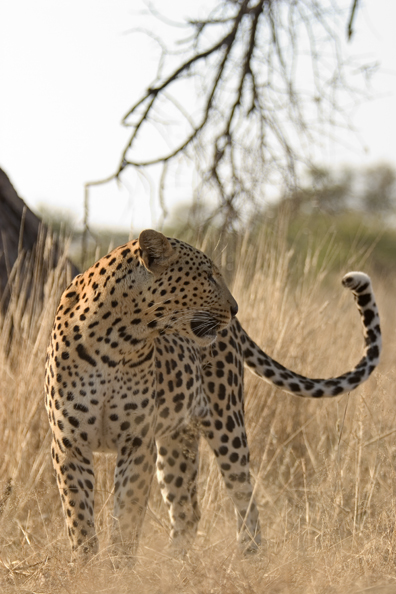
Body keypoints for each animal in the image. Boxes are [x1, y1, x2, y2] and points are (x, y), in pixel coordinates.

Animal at [44, 228, 382, 560]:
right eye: (208, 276)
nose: (235, 308)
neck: (117, 342)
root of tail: (236, 329)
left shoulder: (137, 441)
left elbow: (127, 516)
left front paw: (118, 566)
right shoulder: (69, 442)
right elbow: (79, 517)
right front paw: (87, 565)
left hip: (227, 423)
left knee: (243, 497)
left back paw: (247, 557)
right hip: (177, 439)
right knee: (186, 511)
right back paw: (174, 565)